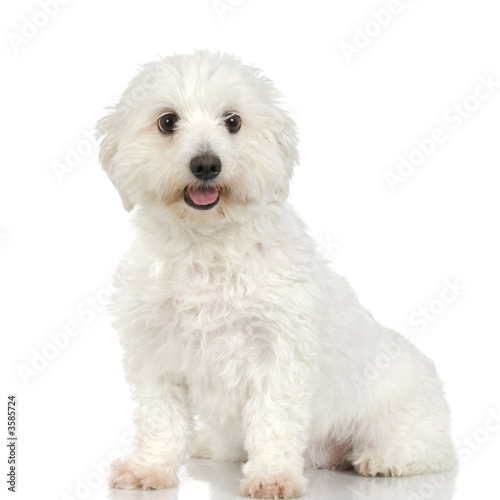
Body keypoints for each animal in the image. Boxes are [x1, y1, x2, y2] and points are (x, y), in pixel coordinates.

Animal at [95, 49, 456, 496]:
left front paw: (272, 476)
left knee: (426, 451)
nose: (206, 164)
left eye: (233, 121)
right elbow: (159, 420)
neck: (206, 246)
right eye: (167, 121)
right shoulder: (154, 353)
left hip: (403, 422)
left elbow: (274, 420)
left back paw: (381, 459)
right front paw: (150, 467)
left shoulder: (280, 354)